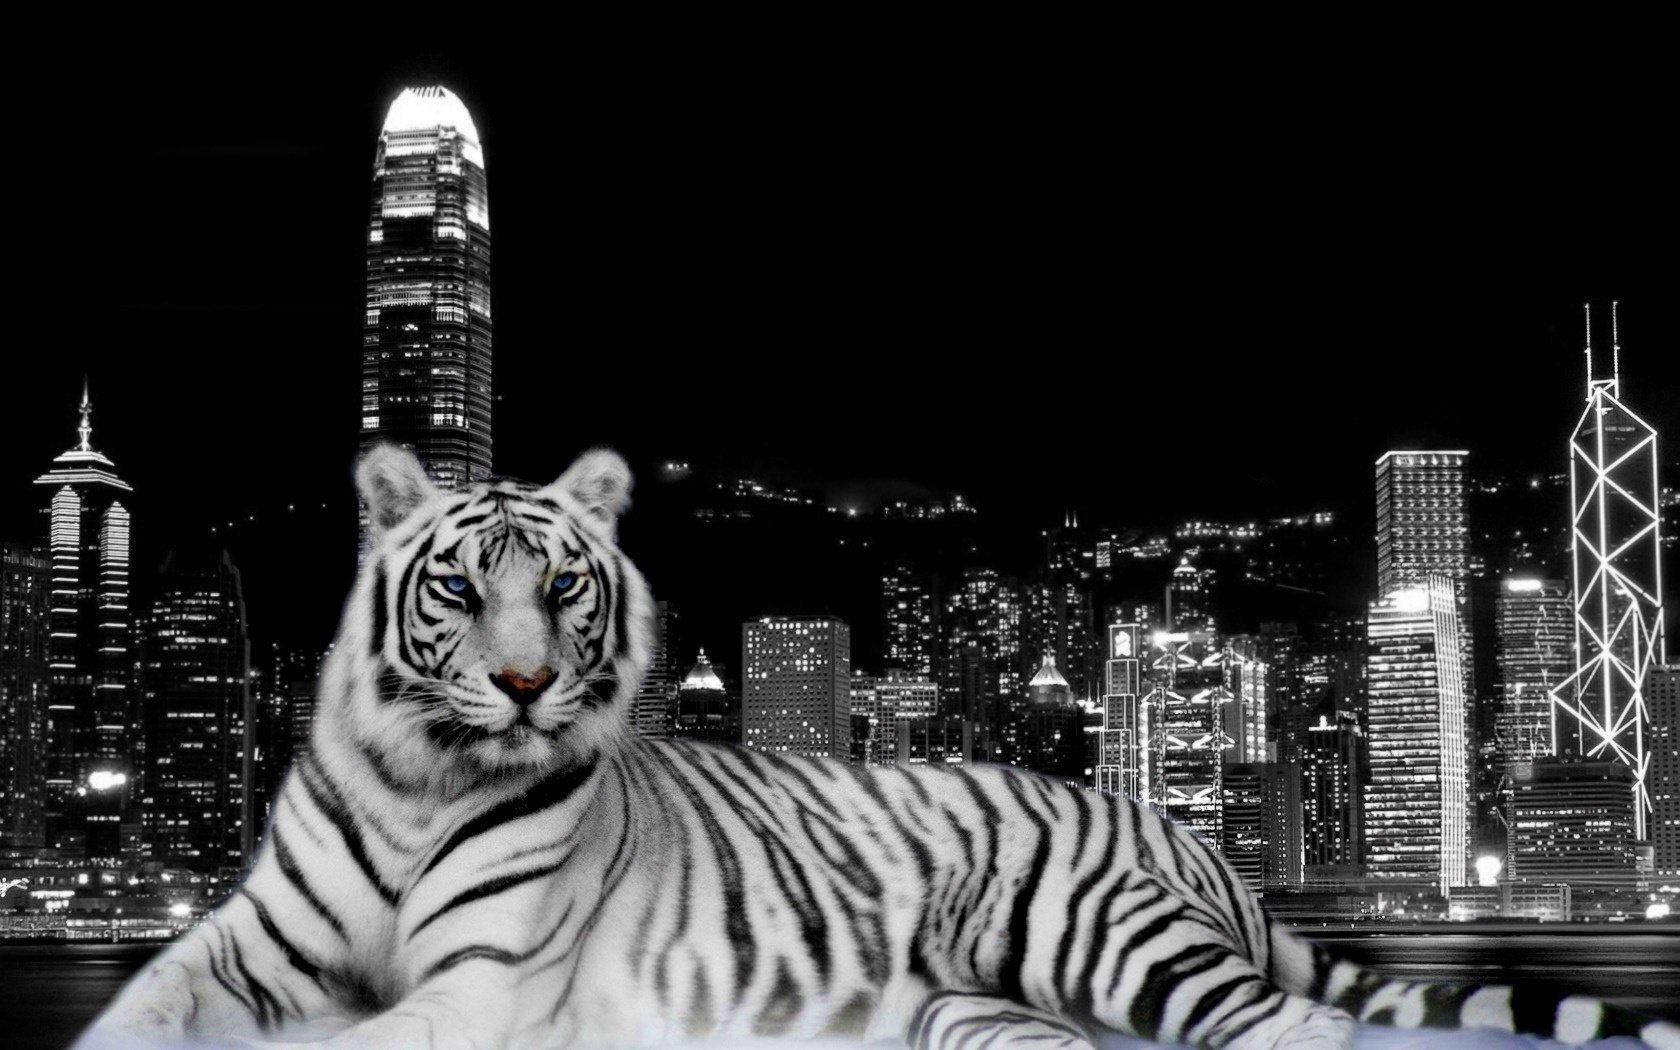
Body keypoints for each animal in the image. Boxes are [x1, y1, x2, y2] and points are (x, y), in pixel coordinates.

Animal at [80, 444, 1680, 1050]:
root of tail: (1181, 829)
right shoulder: (235, 948)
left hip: (1091, 932)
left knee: (1293, 1032)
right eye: (462, 589)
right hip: (964, 1008)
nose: (529, 686)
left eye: (568, 587)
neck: (420, 782)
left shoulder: (482, 982)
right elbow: (137, 1014)